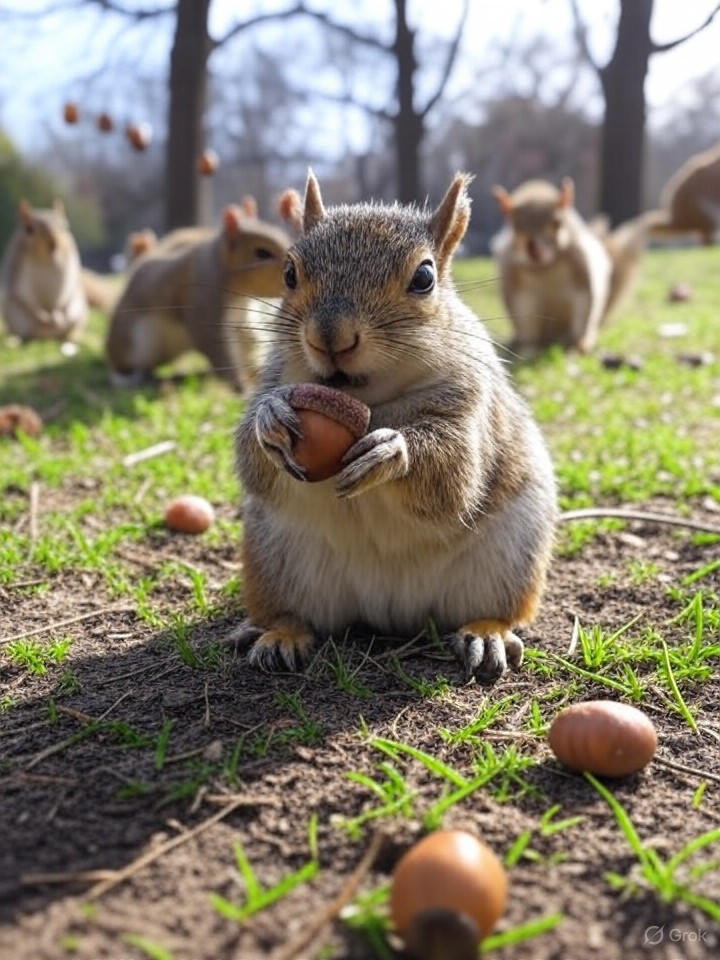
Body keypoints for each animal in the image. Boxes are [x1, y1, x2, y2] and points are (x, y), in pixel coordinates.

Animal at [0, 199, 87, 343]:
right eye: (29, 229)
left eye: (64, 226)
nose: (53, 242)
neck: (46, 258)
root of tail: (47, 338)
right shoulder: (16, 271)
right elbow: (24, 295)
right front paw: (43, 317)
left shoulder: (71, 268)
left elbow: (67, 291)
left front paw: (57, 316)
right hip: (17, 318)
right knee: (27, 332)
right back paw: (18, 339)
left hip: (77, 312)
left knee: (68, 327)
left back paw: (71, 337)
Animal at [105, 197, 292, 389]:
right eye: (262, 253)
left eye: (282, 234)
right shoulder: (205, 303)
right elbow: (217, 348)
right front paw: (241, 386)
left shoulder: (241, 320)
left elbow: (247, 341)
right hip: (133, 343)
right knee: (122, 365)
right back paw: (129, 377)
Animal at [232, 171, 557, 685]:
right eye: (289, 272)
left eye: (424, 277)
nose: (330, 337)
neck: (369, 399)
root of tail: (390, 610)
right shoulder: (273, 375)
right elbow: (251, 459)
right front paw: (270, 419)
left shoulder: (470, 404)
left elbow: (455, 475)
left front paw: (392, 451)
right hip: (273, 558)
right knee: (294, 613)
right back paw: (280, 634)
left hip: (512, 555)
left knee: (501, 607)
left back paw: (487, 632)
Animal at [491, 179, 657, 353]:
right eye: (515, 226)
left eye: (557, 223)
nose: (534, 251)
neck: (545, 266)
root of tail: (552, 337)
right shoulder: (514, 277)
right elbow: (524, 316)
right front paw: (527, 348)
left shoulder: (580, 263)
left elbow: (585, 301)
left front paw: (581, 343)